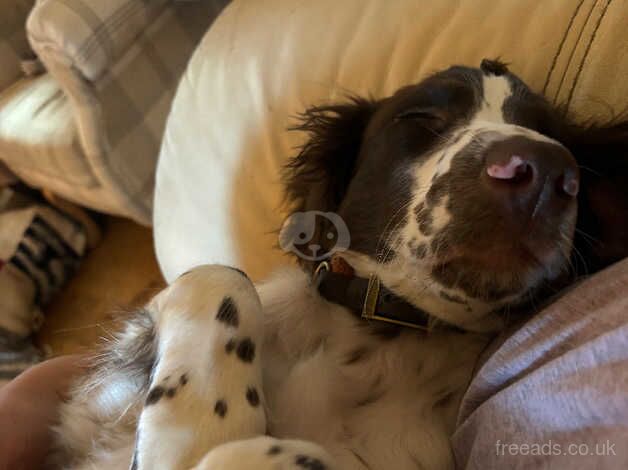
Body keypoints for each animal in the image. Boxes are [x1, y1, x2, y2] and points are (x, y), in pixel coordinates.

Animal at [52, 60, 628, 468]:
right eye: (422, 118)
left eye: (564, 145)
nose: (548, 172)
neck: (380, 331)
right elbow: (219, 275)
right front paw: (197, 424)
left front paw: (202, 442)